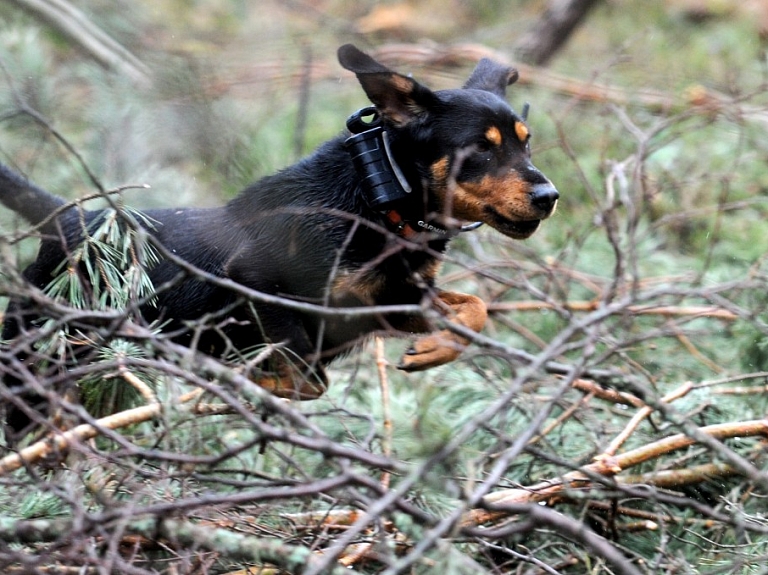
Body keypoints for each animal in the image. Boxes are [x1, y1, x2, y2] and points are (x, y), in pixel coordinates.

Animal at [0, 45, 556, 438]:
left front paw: (436, 349)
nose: (549, 195)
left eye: (527, 144)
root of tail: (65, 220)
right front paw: (246, 384)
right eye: (479, 149)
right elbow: (308, 377)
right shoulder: (260, 285)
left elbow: (475, 308)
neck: (378, 202)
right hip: (36, 353)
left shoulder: (389, 299)